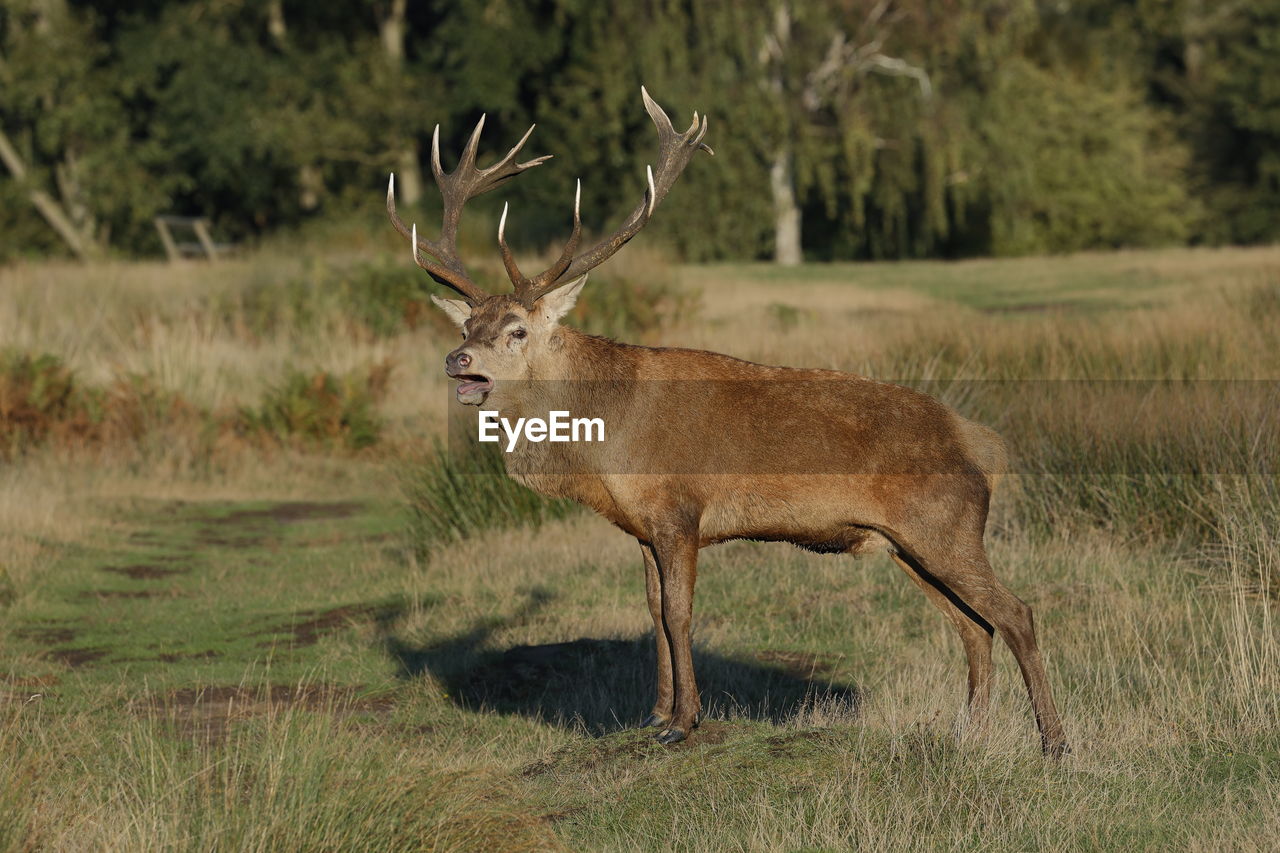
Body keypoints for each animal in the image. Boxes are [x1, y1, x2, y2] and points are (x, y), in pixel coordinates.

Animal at [389, 87, 1070, 753]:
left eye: (516, 330)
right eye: (467, 325)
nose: (456, 359)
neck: (602, 444)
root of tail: (983, 442)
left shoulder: (680, 508)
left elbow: (680, 613)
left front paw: (684, 722)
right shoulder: (641, 526)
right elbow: (652, 613)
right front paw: (654, 715)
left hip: (944, 524)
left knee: (1014, 612)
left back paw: (1054, 743)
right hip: (907, 543)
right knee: (973, 625)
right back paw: (967, 735)